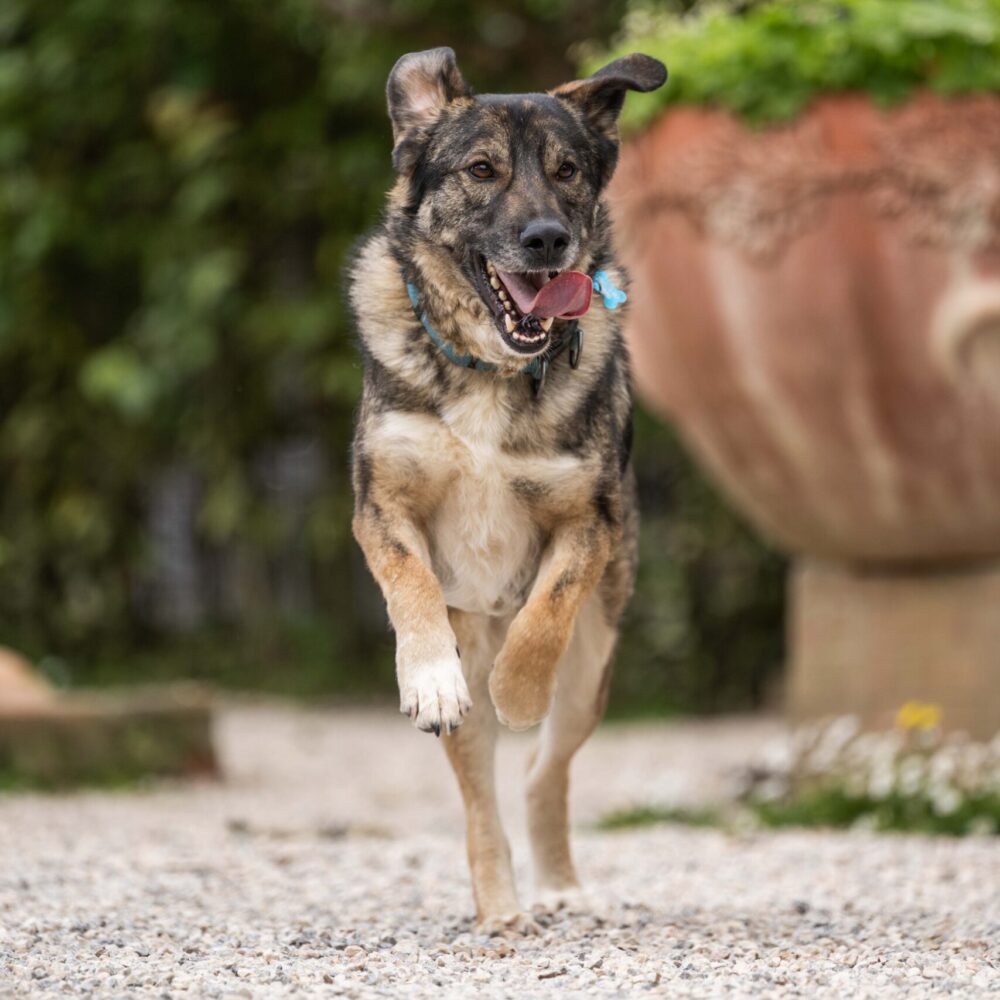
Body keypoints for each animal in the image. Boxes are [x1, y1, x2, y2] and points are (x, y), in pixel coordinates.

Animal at [349, 47, 666, 933]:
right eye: (482, 170)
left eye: (568, 172)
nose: (547, 239)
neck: (492, 369)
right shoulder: (381, 505)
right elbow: (411, 582)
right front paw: (429, 676)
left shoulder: (587, 522)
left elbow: (546, 612)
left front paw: (518, 688)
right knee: (481, 798)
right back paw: (498, 904)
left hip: (594, 668)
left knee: (542, 771)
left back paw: (554, 884)